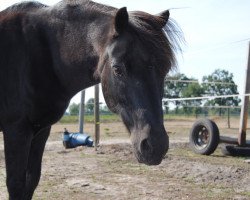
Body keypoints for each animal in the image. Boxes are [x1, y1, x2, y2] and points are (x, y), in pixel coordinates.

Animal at [0, 0, 181, 199]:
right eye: (117, 69)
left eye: (165, 69)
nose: (156, 146)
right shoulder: (17, 131)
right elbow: (16, 185)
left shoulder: (40, 130)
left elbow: (31, 181)